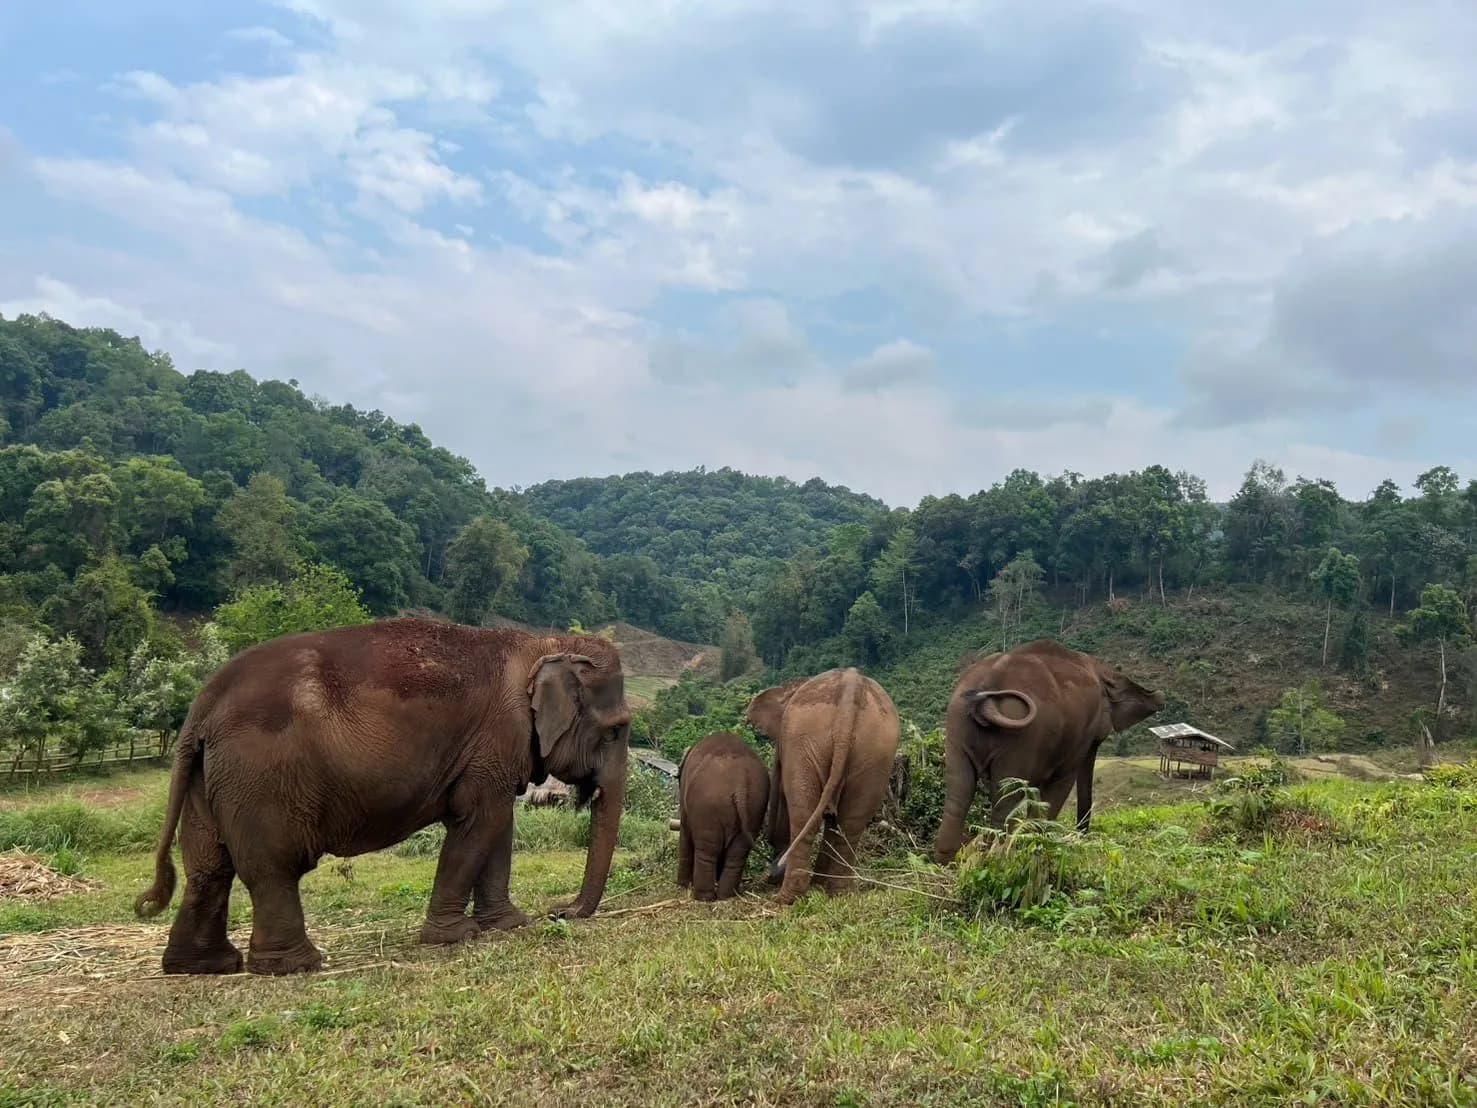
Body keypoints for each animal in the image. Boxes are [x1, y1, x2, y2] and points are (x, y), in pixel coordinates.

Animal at [133, 617, 632, 976]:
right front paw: (454, 937)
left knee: (209, 868)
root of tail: (202, 707)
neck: (540, 643)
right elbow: (480, 821)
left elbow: (498, 825)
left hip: (209, 778)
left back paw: (204, 967)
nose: (560, 912)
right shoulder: (497, 737)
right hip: (260, 779)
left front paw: (509, 925)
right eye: (616, 730)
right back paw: (296, 966)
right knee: (272, 868)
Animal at [674, 732, 769, 901]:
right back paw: (726, 896)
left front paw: (682, 885)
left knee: (707, 851)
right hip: (755, 807)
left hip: (708, 807)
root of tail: (740, 783)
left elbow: (684, 833)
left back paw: (703, 897)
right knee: (737, 854)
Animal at [743, 668, 900, 905]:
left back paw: (786, 899)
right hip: (875, 752)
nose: (770, 875)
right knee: (850, 824)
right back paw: (839, 894)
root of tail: (851, 686)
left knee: (803, 814)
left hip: (806, 742)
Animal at [932, 638, 1165, 864]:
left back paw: (949, 859)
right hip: (1020, 739)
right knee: (1004, 797)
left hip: (956, 727)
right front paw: (1040, 842)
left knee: (958, 791)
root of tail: (985, 694)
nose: (1081, 835)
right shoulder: (1078, 737)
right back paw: (994, 857)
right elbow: (1061, 783)